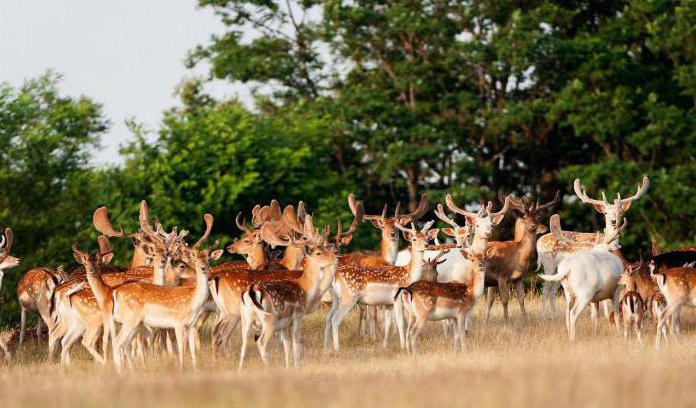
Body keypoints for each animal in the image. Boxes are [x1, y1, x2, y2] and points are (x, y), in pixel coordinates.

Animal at [536, 176, 648, 318]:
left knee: (553, 291)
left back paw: (554, 316)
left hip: (559, 272)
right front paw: (603, 315)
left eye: (620, 212)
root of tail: (538, 241)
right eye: (605, 212)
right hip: (548, 264)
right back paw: (543, 316)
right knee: (545, 289)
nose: (614, 221)